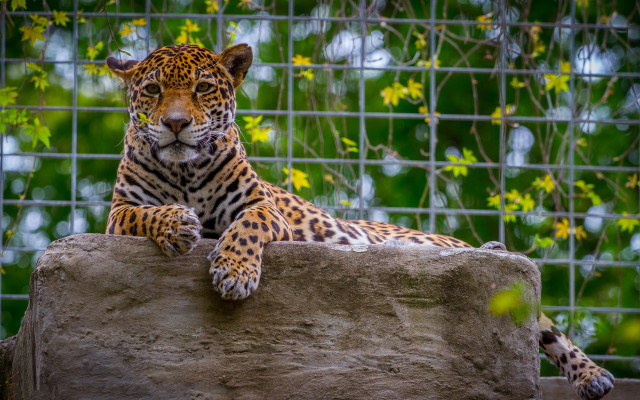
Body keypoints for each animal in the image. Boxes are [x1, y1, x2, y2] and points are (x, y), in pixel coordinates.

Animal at [105, 44, 614, 400]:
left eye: (202, 89)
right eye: (152, 90)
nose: (174, 124)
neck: (184, 172)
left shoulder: (263, 207)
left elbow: (245, 229)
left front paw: (234, 273)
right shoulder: (116, 216)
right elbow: (145, 213)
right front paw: (178, 224)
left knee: (544, 324)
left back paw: (592, 375)